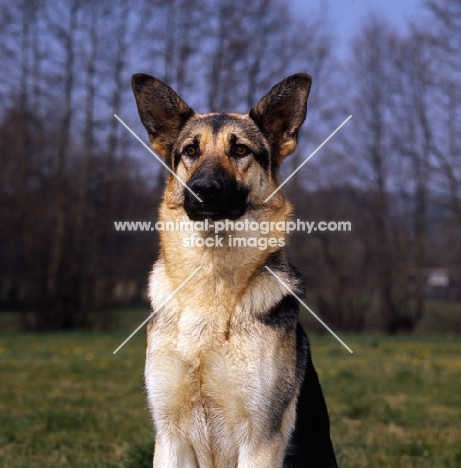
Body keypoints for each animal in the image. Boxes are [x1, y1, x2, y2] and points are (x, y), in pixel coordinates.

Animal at [131, 73, 336, 468]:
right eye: (190, 151)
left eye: (240, 150)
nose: (203, 190)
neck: (211, 282)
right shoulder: (170, 438)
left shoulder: (259, 441)